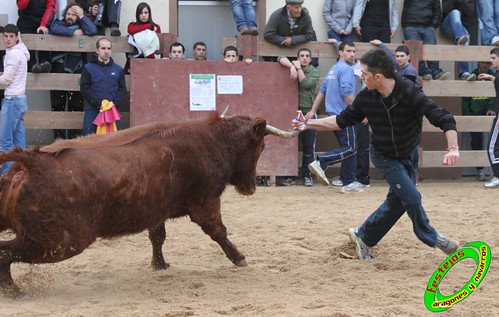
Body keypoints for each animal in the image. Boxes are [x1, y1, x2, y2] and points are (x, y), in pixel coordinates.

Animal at [0, 111, 296, 296]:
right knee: (6, 253)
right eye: (260, 148)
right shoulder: (205, 202)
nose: (251, 188)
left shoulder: (157, 209)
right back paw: (14, 292)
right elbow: (218, 232)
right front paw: (239, 258)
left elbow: (157, 236)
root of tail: (31, 160)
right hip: (62, 241)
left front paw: (159, 265)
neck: (212, 140)